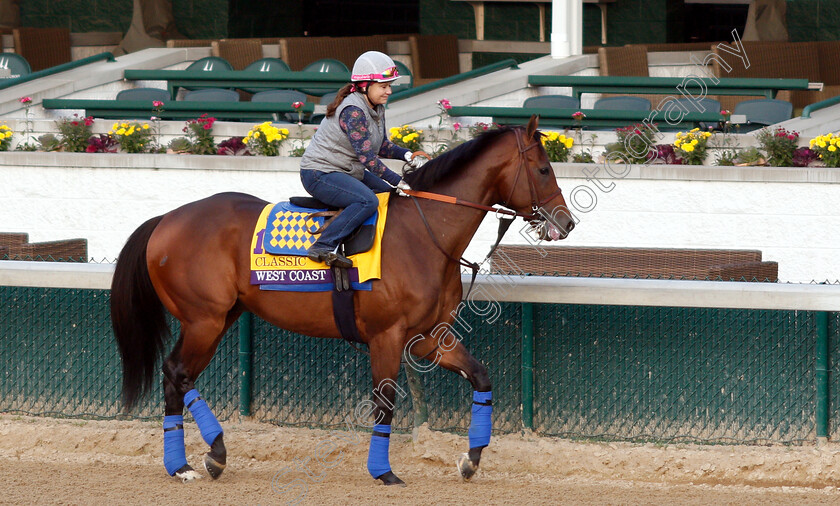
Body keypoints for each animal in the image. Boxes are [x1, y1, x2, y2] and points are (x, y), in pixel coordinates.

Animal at [111, 114, 576, 486]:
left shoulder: (430, 338)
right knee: (178, 374)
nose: (567, 223)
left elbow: (481, 378)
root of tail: (165, 220)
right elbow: (384, 405)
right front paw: (383, 472)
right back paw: (214, 453)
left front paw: (471, 460)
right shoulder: (387, 336)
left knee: (176, 377)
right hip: (204, 320)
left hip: (219, 319)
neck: (424, 233)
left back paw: (182, 465)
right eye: (543, 168)